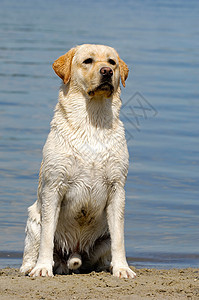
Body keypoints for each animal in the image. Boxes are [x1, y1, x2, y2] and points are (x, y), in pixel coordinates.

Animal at [19, 44, 136, 278]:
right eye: (88, 61)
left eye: (112, 62)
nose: (106, 72)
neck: (93, 124)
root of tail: (74, 253)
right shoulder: (53, 187)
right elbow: (47, 236)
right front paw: (42, 267)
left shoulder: (117, 188)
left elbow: (120, 238)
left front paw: (122, 268)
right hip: (33, 220)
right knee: (34, 246)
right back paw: (30, 267)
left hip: (103, 238)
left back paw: (108, 265)